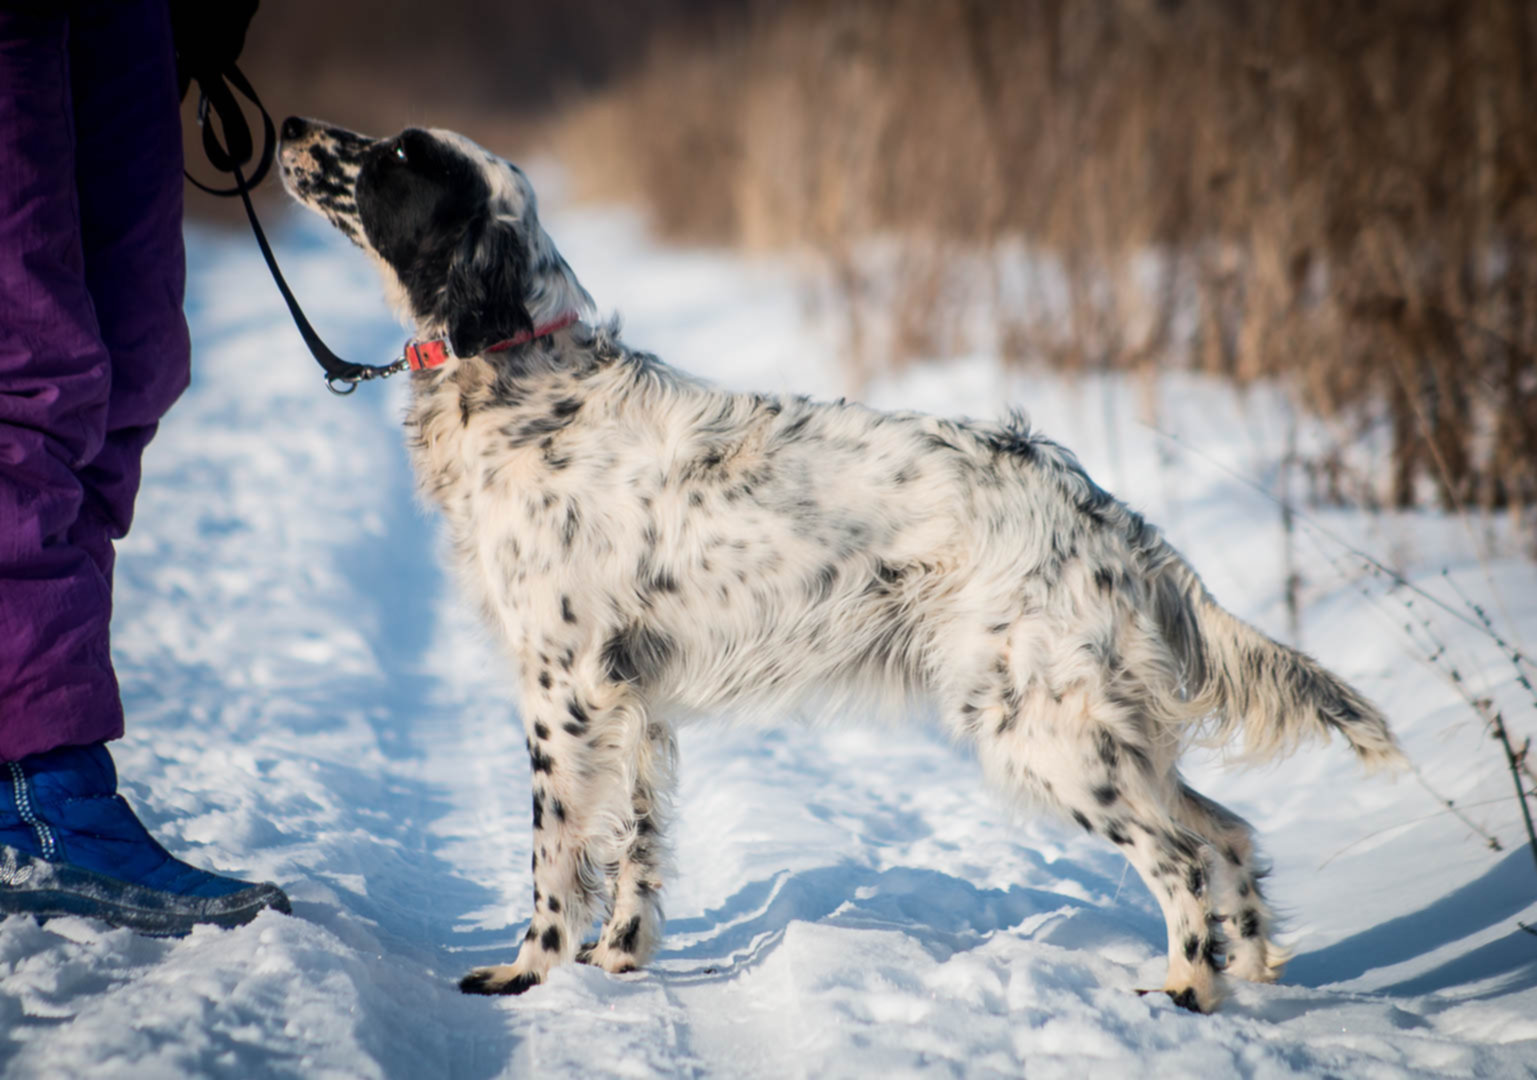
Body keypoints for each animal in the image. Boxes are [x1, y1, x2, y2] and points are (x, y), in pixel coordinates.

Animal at [276, 118, 1407, 1013]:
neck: (526, 379)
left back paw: (1187, 988)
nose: (285, 124)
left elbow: (555, 854)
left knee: (1177, 858)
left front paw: (528, 970)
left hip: (1043, 734)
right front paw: (617, 957)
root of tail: (1103, 511)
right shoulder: (635, 700)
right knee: (1225, 834)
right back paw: (1250, 969)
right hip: (1107, 732)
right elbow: (636, 844)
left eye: (396, 158)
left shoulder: (564, 691)